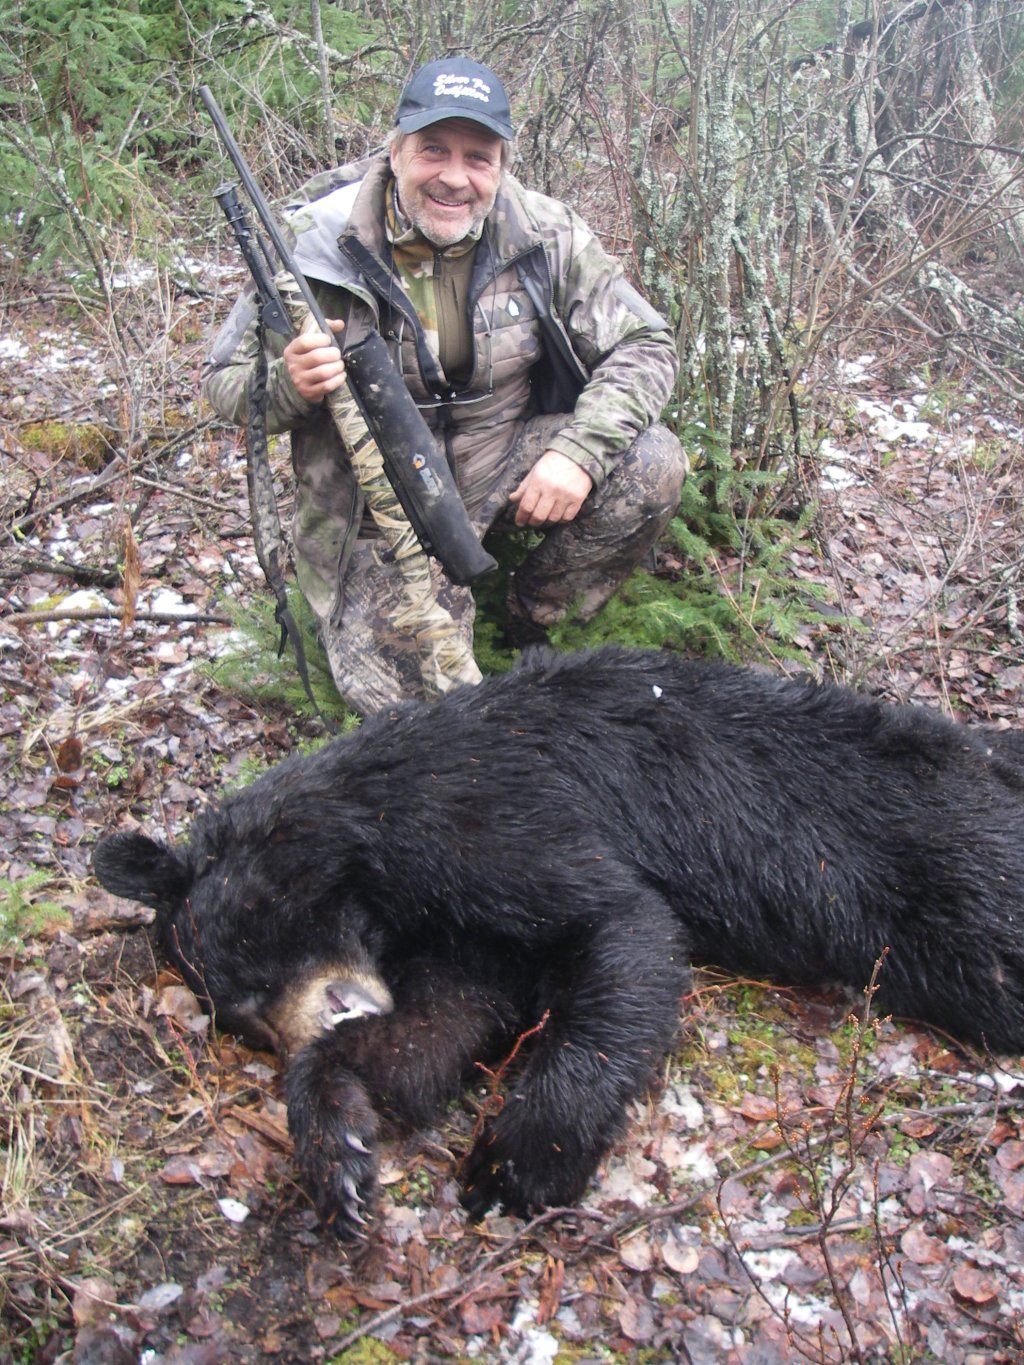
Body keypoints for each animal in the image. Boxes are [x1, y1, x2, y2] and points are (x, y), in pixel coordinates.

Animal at [92, 649, 1024, 1239]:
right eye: (243, 1017)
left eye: (258, 956)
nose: (331, 1010)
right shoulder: (451, 938)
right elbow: (437, 1029)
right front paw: (341, 1155)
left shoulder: (482, 813)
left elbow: (620, 923)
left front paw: (514, 1164)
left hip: (938, 863)